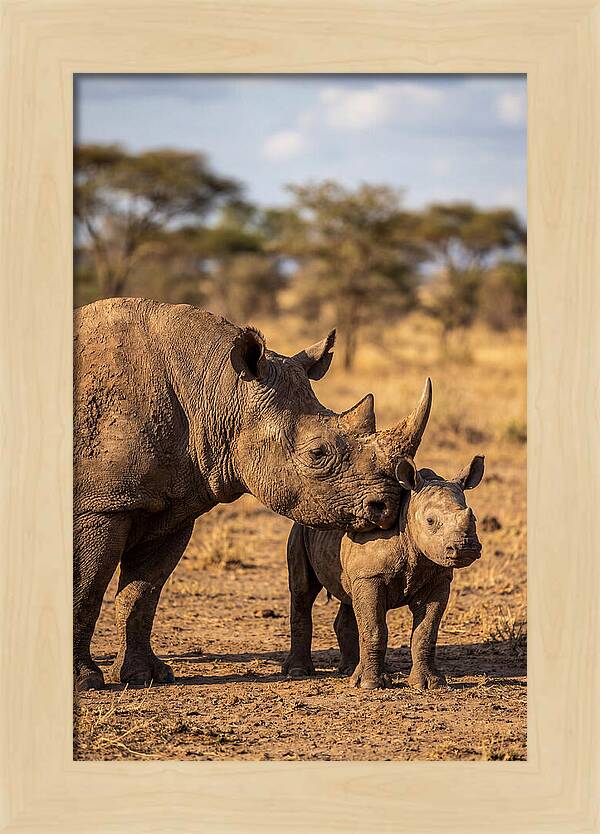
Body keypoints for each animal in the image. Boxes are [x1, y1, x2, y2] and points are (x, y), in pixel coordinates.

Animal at [74, 298, 402, 692]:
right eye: (317, 454)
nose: (388, 506)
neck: (218, 391)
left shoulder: (173, 506)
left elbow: (142, 593)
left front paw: (145, 676)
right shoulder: (102, 505)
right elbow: (87, 586)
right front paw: (85, 681)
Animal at [282, 379, 485, 690]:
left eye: (473, 517)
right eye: (430, 521)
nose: (465, 548)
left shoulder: (438, 577)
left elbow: (426, 632)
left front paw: (430, 684)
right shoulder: (371, 576)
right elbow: (375, 628)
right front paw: (370, 685)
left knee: (347, 597)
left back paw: (349, 671)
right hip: (300, 528)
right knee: (303, 591)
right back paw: (300, 672)